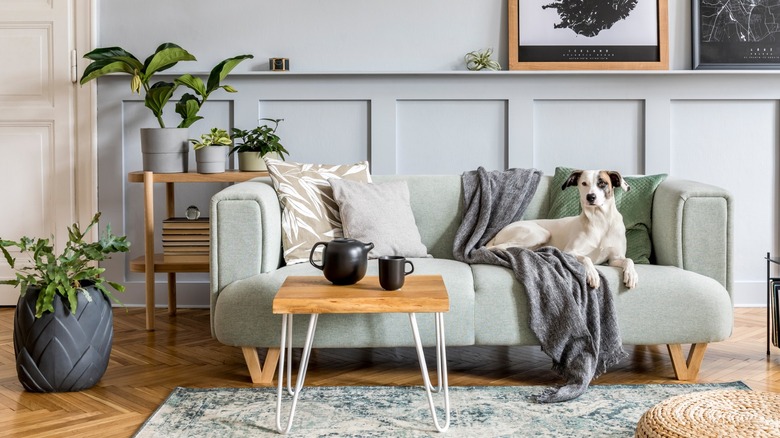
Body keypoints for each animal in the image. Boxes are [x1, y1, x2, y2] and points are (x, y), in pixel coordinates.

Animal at [490, 169, 636, 290]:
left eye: (602, 183)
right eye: (584, 183)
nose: (590, 197)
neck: (600, 221)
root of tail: (500, 231)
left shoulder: (614, 259)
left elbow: (629, 260)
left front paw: (631, 274)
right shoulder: (569, 252)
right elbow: (586, 258)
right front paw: (593, 274)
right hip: (540, 233)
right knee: (496, 248)